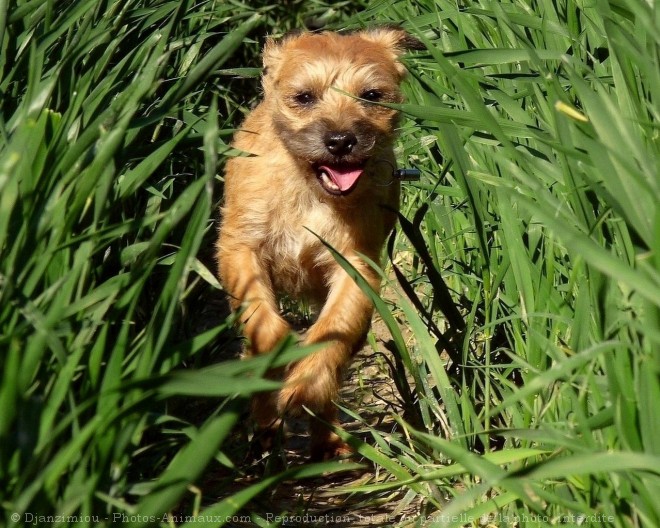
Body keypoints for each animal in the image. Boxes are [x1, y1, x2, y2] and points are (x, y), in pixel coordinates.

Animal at [217, 26, 422, 460]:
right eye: (304, 97)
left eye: (372, 95)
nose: (341, 140)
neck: (308, 188)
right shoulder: (241, 250)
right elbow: (264, 325)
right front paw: (274, 364)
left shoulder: (355, 265)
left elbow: (334, 328)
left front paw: (305, 386)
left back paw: (327, 438)